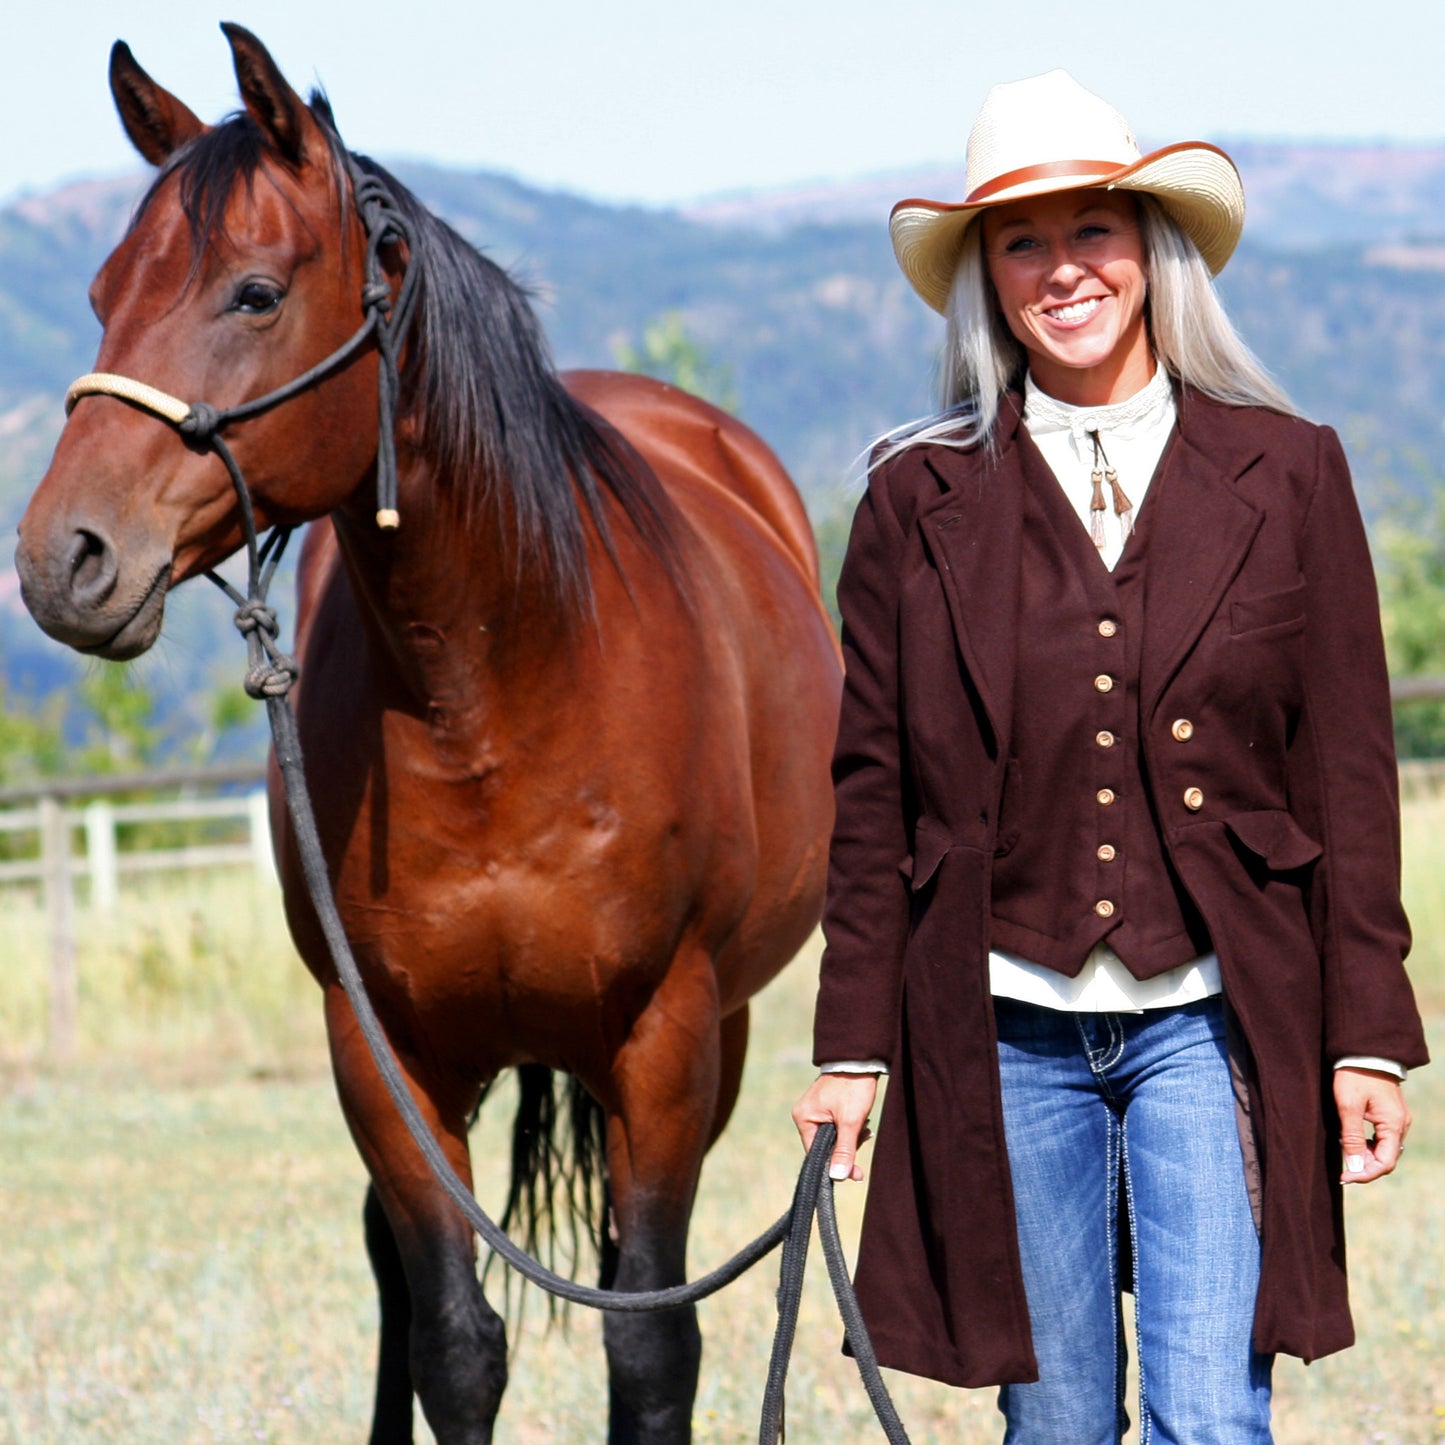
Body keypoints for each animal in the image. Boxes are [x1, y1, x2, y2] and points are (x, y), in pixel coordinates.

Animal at [11, 25, 843, 1445]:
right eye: (103, 290)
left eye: (252, 293)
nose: (63, 558)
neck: (496, 692)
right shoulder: (378, 1048)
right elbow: (452, 1343)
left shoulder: (665, 1040)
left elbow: (649, 1342)